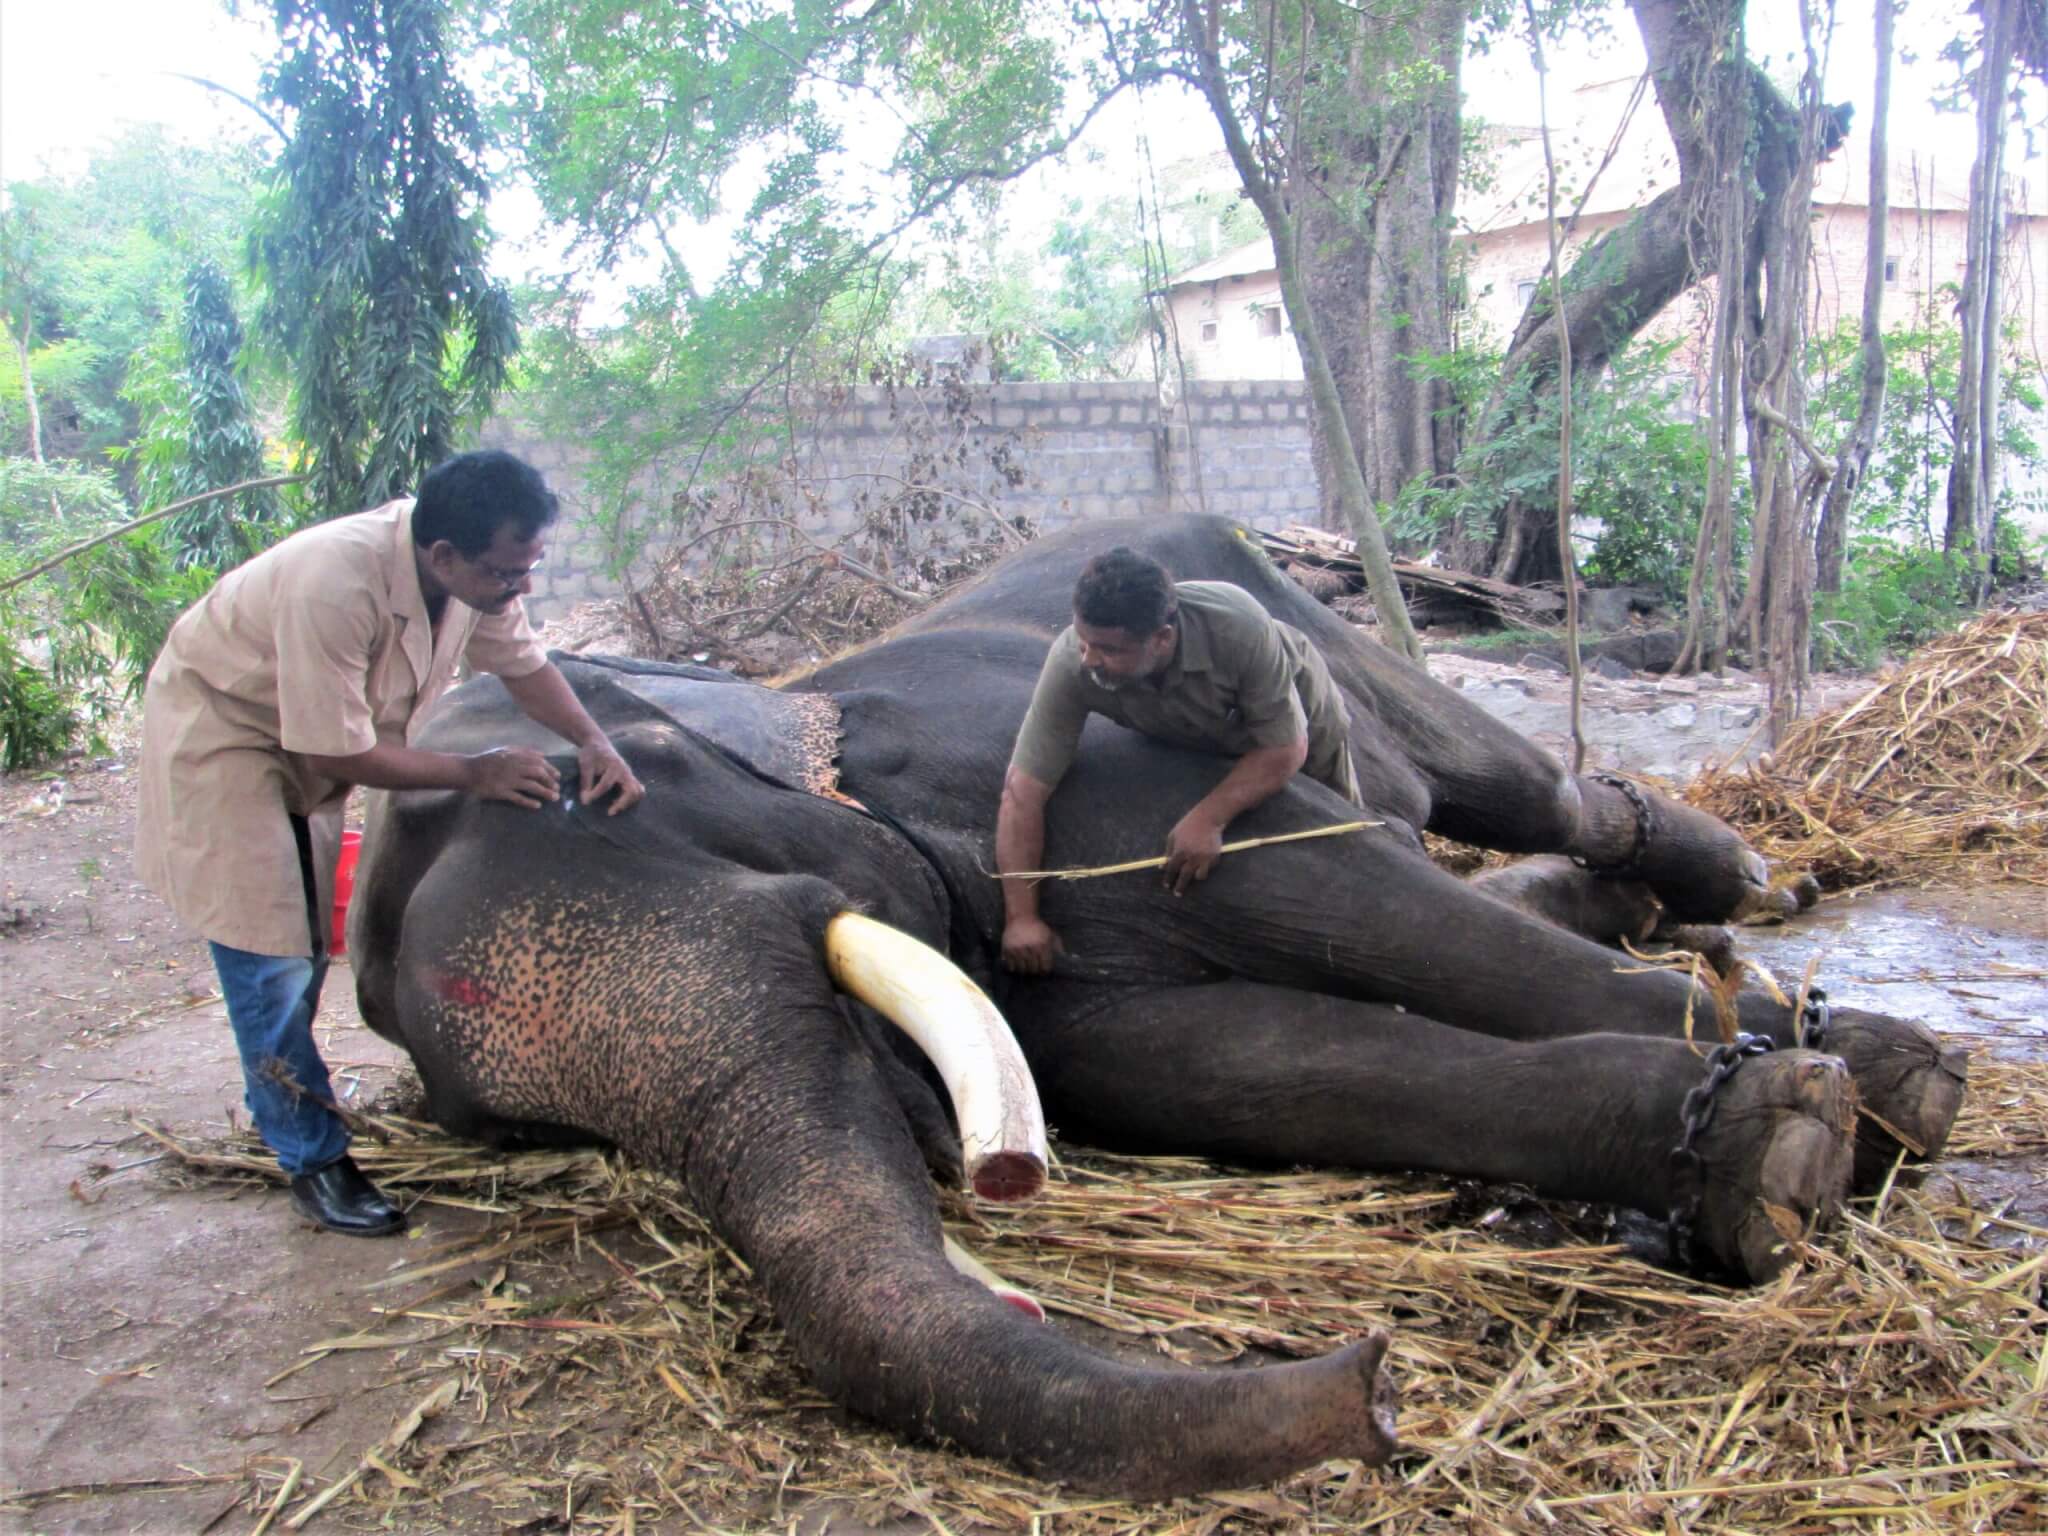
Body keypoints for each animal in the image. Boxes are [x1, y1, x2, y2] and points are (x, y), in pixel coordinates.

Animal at [352, 518, 1966, 1507]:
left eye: (604, 791)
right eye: (490, 1123)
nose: (1377, 1388)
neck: (788, 701)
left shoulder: (1065, 769)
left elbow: (1339, 899)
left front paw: (1853, 1100)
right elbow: (1250, 1070)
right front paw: (1779, 1152)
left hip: (1321, 634)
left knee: (1512, 792)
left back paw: (1745, 889)